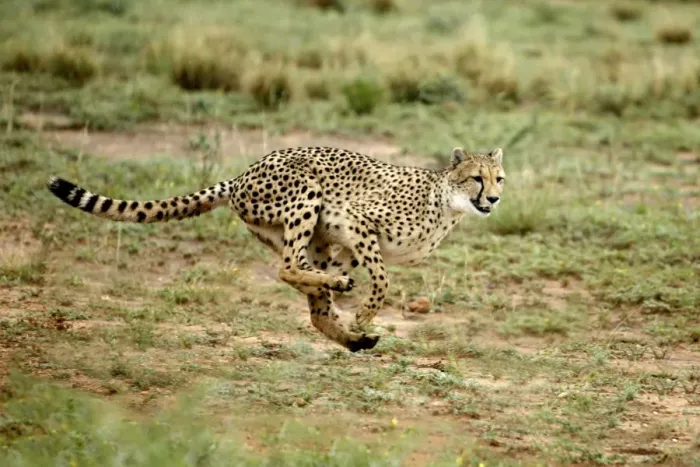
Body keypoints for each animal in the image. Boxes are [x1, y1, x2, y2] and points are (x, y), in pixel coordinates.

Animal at [47, 145, 506, 352]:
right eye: (476, 178)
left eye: (498, 177)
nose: (495, 198)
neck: (448, 203)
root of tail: (242, 173)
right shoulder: (355, 219)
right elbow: (382, 277)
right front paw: (363, 313)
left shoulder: (346, 241)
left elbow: (358, 277)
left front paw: (354, 318)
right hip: (306, 196)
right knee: (286, 268)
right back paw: (344, 306)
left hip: (309, 236)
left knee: (309, 296)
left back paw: (349, 331)